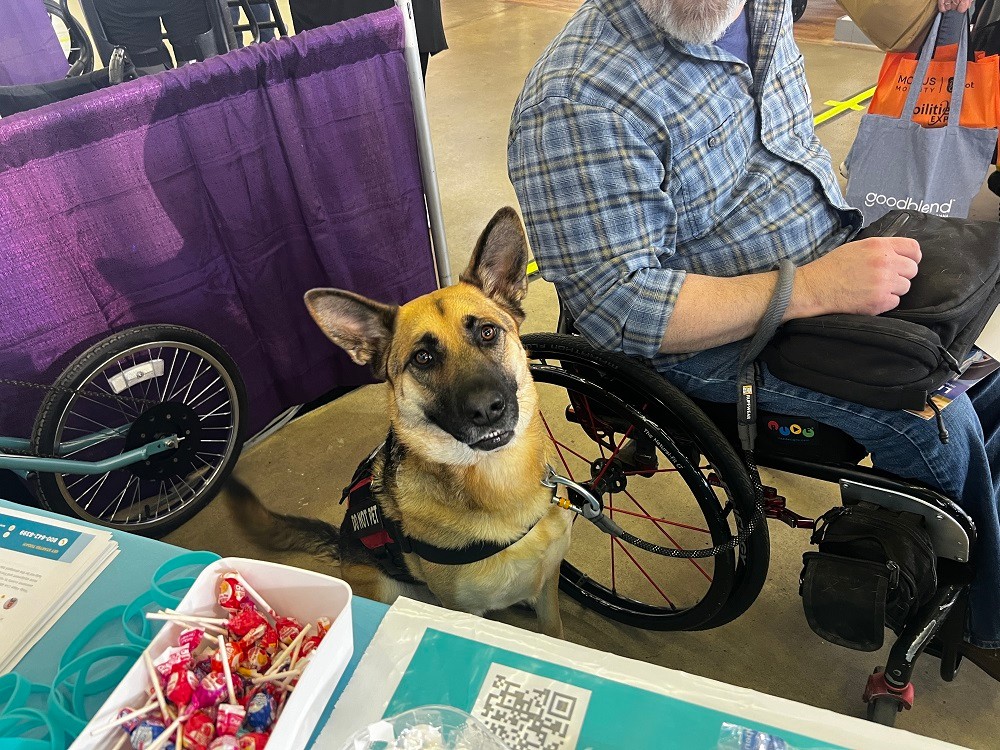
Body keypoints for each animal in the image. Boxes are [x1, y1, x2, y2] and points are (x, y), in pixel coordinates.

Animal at [228, 209, 572, 636]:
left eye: (488, 332)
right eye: (423, 358)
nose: (486, 409)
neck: (498, 483)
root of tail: (343, 547)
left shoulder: (548, 593)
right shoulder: (463, 612)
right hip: (388, 589)